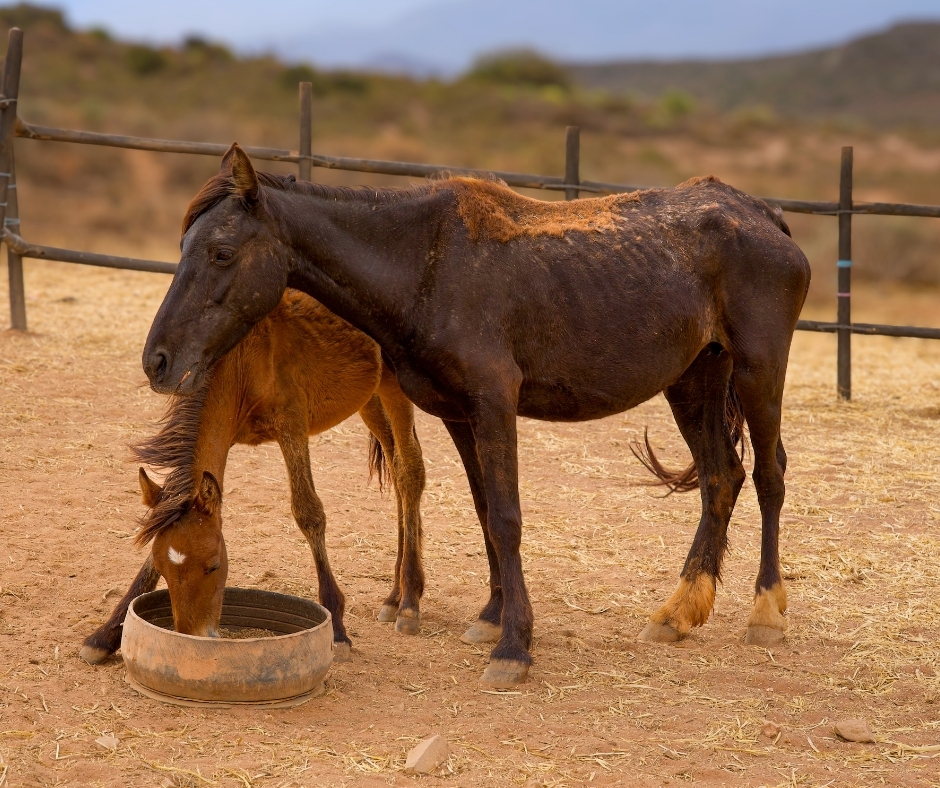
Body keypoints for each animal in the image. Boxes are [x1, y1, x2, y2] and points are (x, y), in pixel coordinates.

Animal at [80, 289, 426, 665]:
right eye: (165, 569)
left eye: (214, 565)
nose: (192, 637)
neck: (245, 359)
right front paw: (104, 635)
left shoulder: (292, 426)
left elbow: (309, 513)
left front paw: (337, 630)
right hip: (370, 398)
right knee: (396, 467)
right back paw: (395, 595)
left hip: (394, 388)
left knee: (410, 471)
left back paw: (409, 601)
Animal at [141, 144, 810, 688]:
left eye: (222, 252)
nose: (158, 360)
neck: (429, 264)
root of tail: (764, 216)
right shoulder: (459, 415)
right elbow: (486, 512)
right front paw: (493, 618)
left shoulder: (494, 404)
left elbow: (508, 519)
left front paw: (513, 648)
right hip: (695, 379)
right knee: (721, 478)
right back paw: (678, 613)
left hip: (757, 372)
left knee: (769, 476)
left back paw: (766, 613)